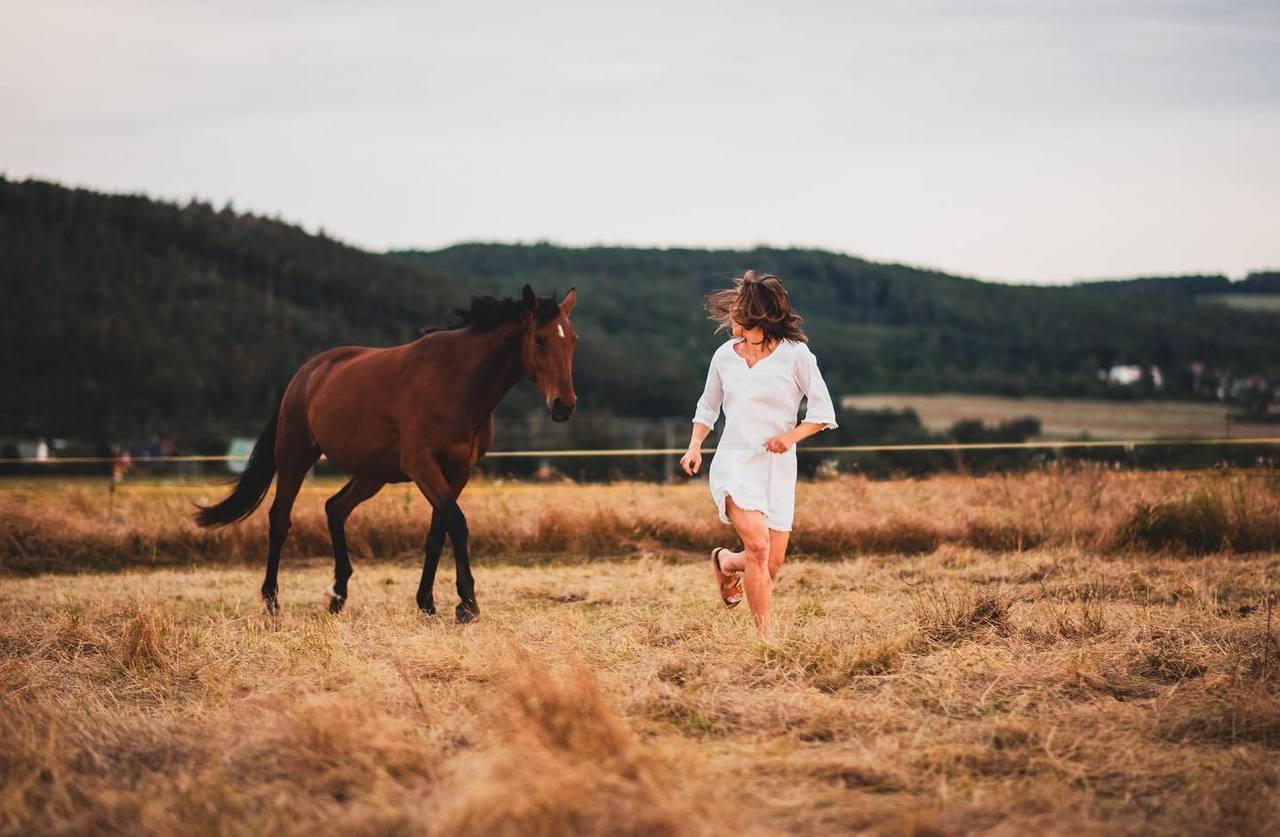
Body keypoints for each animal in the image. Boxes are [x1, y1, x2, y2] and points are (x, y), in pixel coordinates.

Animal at [192, 289, 578, 621]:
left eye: (572, 339)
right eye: (540, 339)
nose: (564, 405)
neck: (457, 382)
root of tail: (302, 376)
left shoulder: (458, 471)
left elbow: (438, 532)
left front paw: (427, 603)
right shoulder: (423, 466)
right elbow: (457, 523)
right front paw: (467, 604)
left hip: (372, 475)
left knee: (335, 508)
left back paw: (337, 595)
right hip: (294, 460)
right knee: (279, 520)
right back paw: (272, 602)